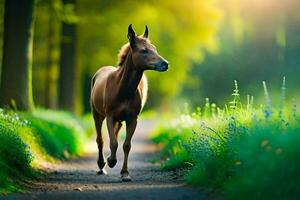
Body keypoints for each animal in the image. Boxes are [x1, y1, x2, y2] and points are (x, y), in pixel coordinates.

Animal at [89, 24, 169, 181]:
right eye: (144, 50)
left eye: (154, 48)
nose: (165, 64)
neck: (122, 89)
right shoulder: (110, 116)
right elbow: (113, 142)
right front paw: (111, 162)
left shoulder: (132, 118)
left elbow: (126, 145)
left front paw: (125, 173)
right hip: (97, 114)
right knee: (100, 139)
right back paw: (102, 165)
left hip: (118, 119)